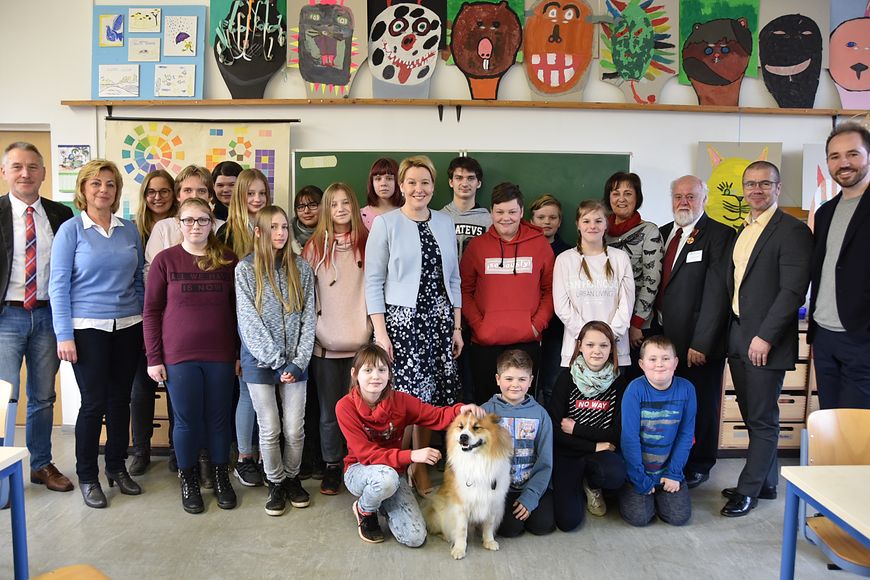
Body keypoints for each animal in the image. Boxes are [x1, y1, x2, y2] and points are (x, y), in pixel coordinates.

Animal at [426, 410, 516, 560]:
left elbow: (489, 525)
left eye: (476, 427)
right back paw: (447, 537)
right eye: (461, 427)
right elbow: (462, 530)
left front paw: (489, 541)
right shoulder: (461, 505)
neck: (477, 459)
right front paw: (459, 549)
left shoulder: (492, 501)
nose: (463, 436)